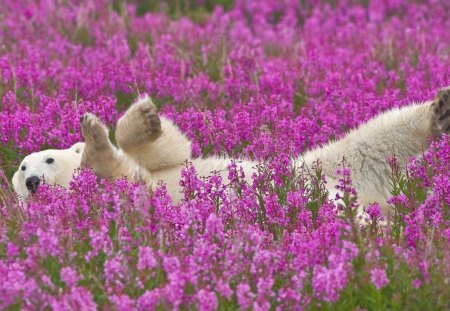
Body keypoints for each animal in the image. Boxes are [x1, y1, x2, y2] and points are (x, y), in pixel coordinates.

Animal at [12, 86, 450, 216]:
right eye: (21, 169)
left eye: (46, 158)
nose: (32, 181)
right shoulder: (135, 197)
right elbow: (118, 174)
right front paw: (95, 141)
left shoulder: (165, 166)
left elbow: (171, 151)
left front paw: (140, 118)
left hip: (321, 166)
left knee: (375, 137)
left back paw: (439, 109)